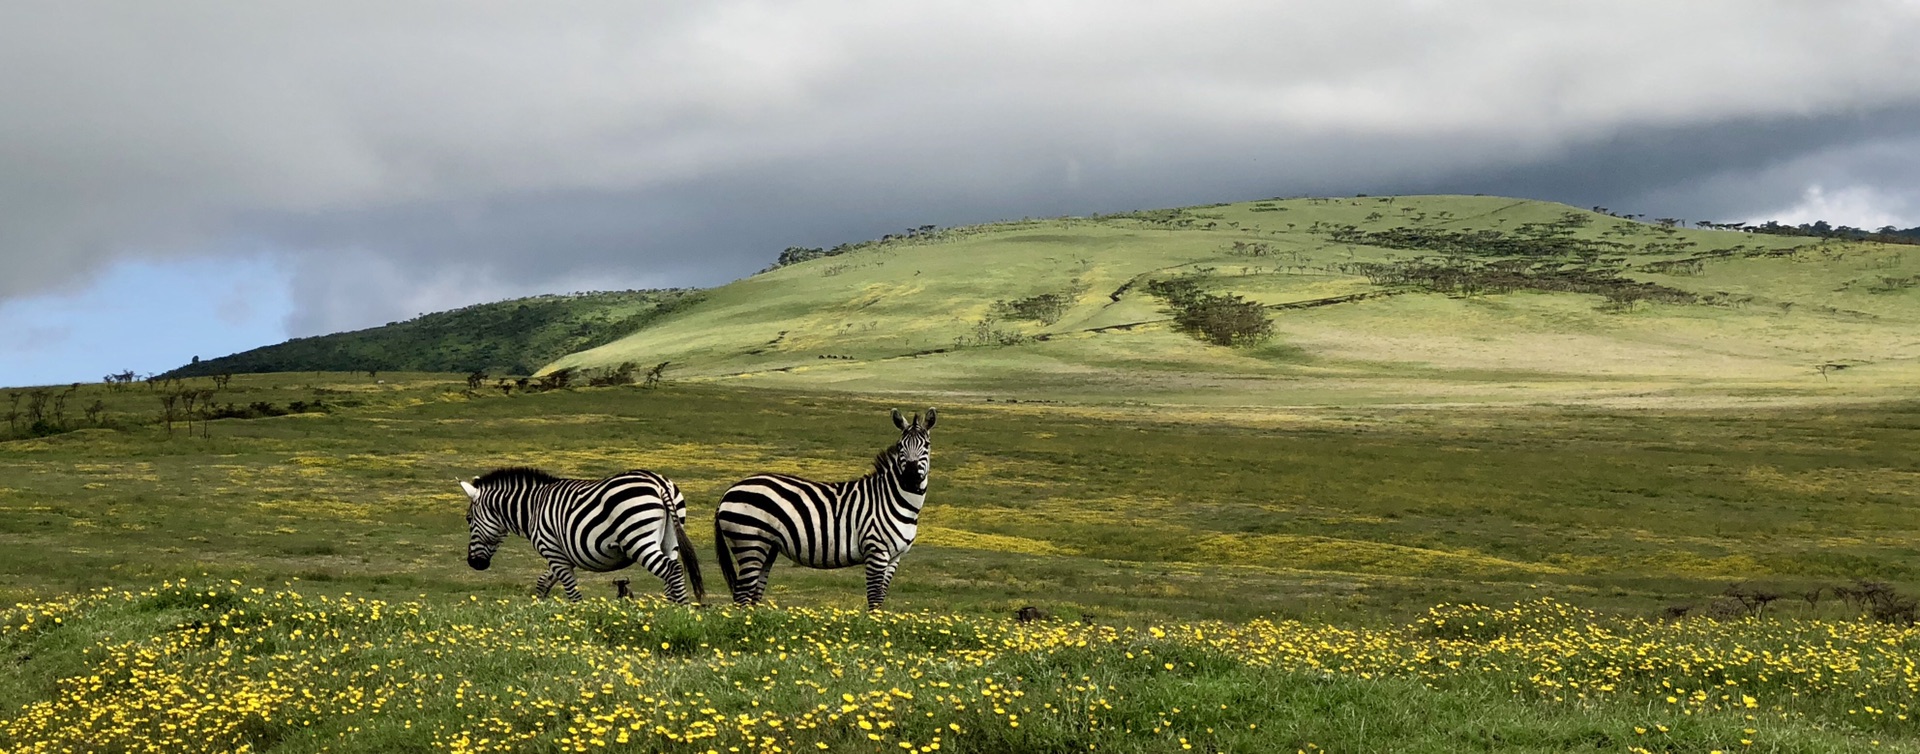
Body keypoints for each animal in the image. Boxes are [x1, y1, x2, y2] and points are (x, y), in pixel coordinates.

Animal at [458, 466, 706, 602]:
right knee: (672, 574)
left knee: (671, 570)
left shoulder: (552, 550)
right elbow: (543, 583)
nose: (473, 563)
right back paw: (669, 612)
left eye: (469, 519)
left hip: (638, 539)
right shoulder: (560, 554)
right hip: (670, 539)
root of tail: (660, 484)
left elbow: (572, 592)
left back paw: (682, 611)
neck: (532, 507)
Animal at [714, 404, 936, 610]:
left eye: (926, 445)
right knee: (742, 594)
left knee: (753, 594)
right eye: (900, 446)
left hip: (767, 546)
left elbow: (880, 598)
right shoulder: (875, 550)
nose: (911, 478)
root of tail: (730, 490)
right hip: (750, 541)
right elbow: (874, 599)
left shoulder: (894, 558)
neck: (894, 499)